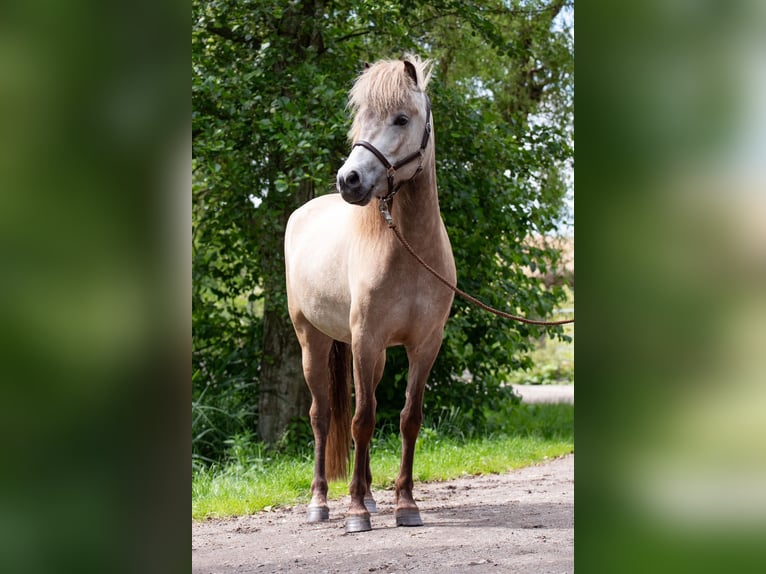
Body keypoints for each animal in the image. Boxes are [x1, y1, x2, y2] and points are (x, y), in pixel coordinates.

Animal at [286, 55, 456, 536]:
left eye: (401, 118)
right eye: (361, 117)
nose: (350, 179)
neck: (409, 250)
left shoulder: (424, 346)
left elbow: (407, 419)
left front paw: (405, 503)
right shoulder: (365, 341)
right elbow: (362, 422)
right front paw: (356, 512)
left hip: (373, 356)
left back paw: (371, 496)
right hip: (313, 341)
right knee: (323, 416)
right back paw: (323, 501)